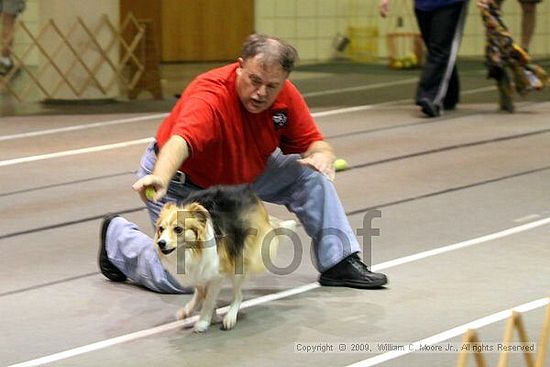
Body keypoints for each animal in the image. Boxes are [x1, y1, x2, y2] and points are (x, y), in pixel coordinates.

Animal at [153, 185, 296, 332]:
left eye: (178, 229)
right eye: (161, 229)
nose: (161, 243)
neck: (192, 250)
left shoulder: (216, 274)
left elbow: (209, 299)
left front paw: (203, 321)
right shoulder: (198, 271)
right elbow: (203, 294)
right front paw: (209, 315)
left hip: (239, 257)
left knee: (238, 295)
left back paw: (230, 317)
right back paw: (188, 310)